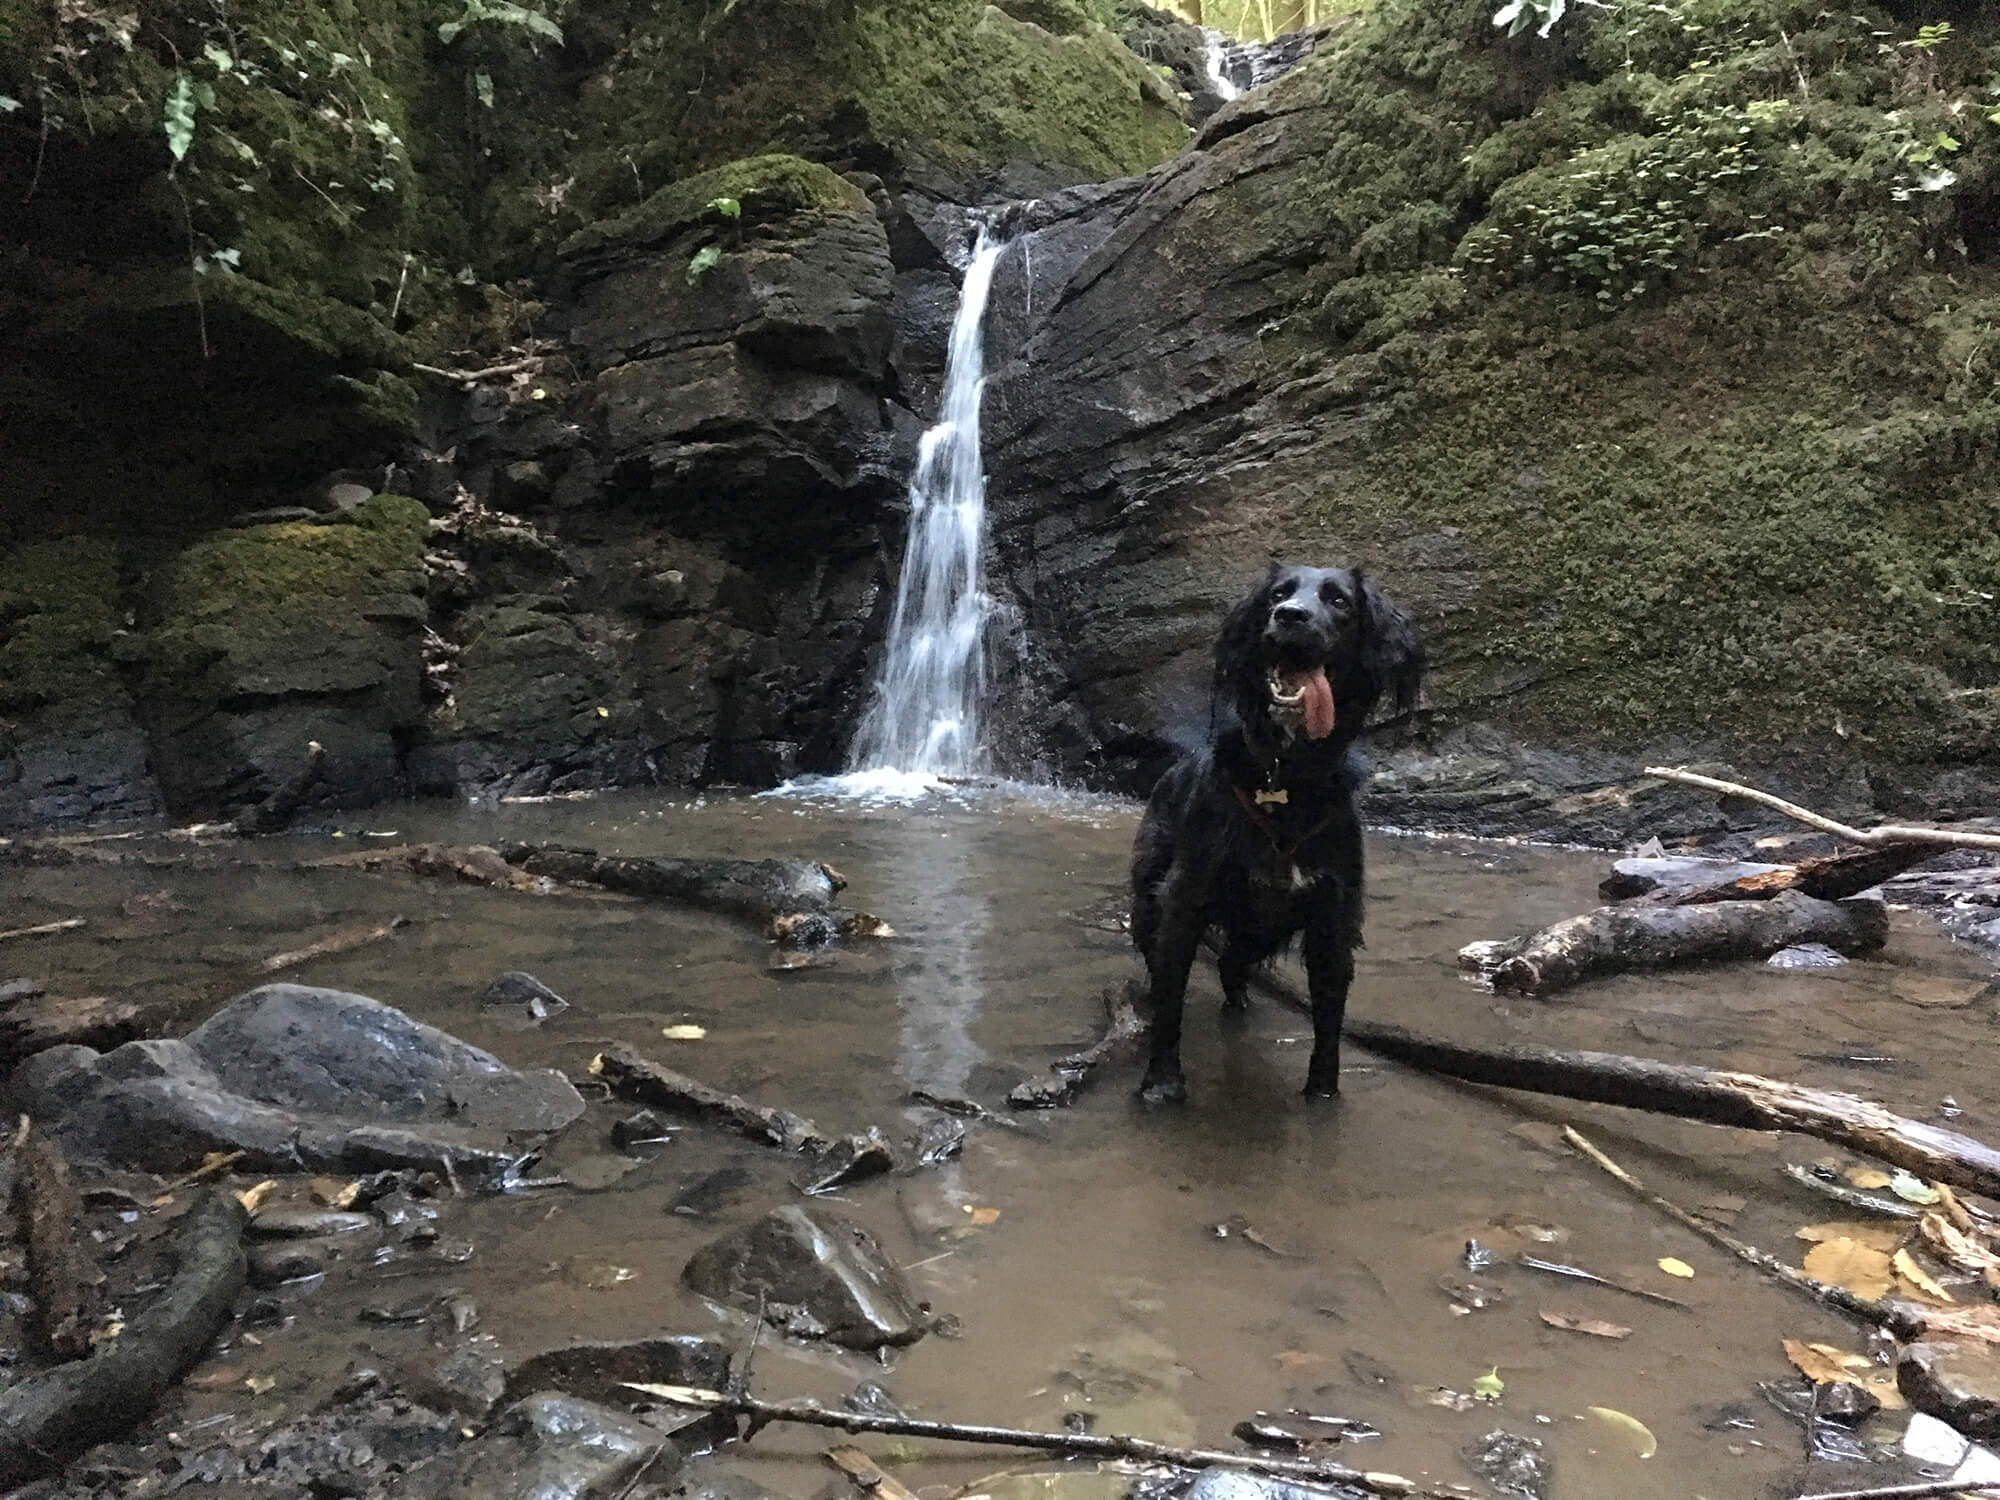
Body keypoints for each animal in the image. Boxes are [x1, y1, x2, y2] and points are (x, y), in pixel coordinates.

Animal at [1128, 564, 1424, 1104]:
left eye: (1339, 600)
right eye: (1278, 594)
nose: (1289, 616)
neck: (1285, 778)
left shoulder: (1333, 919)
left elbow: (1329, 1023)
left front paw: (1322, 1095)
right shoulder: (1184, 899)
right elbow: (1170, 999)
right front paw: (1161, 1083)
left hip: (1256, 929)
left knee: (1232, 965)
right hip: (1152, 896)